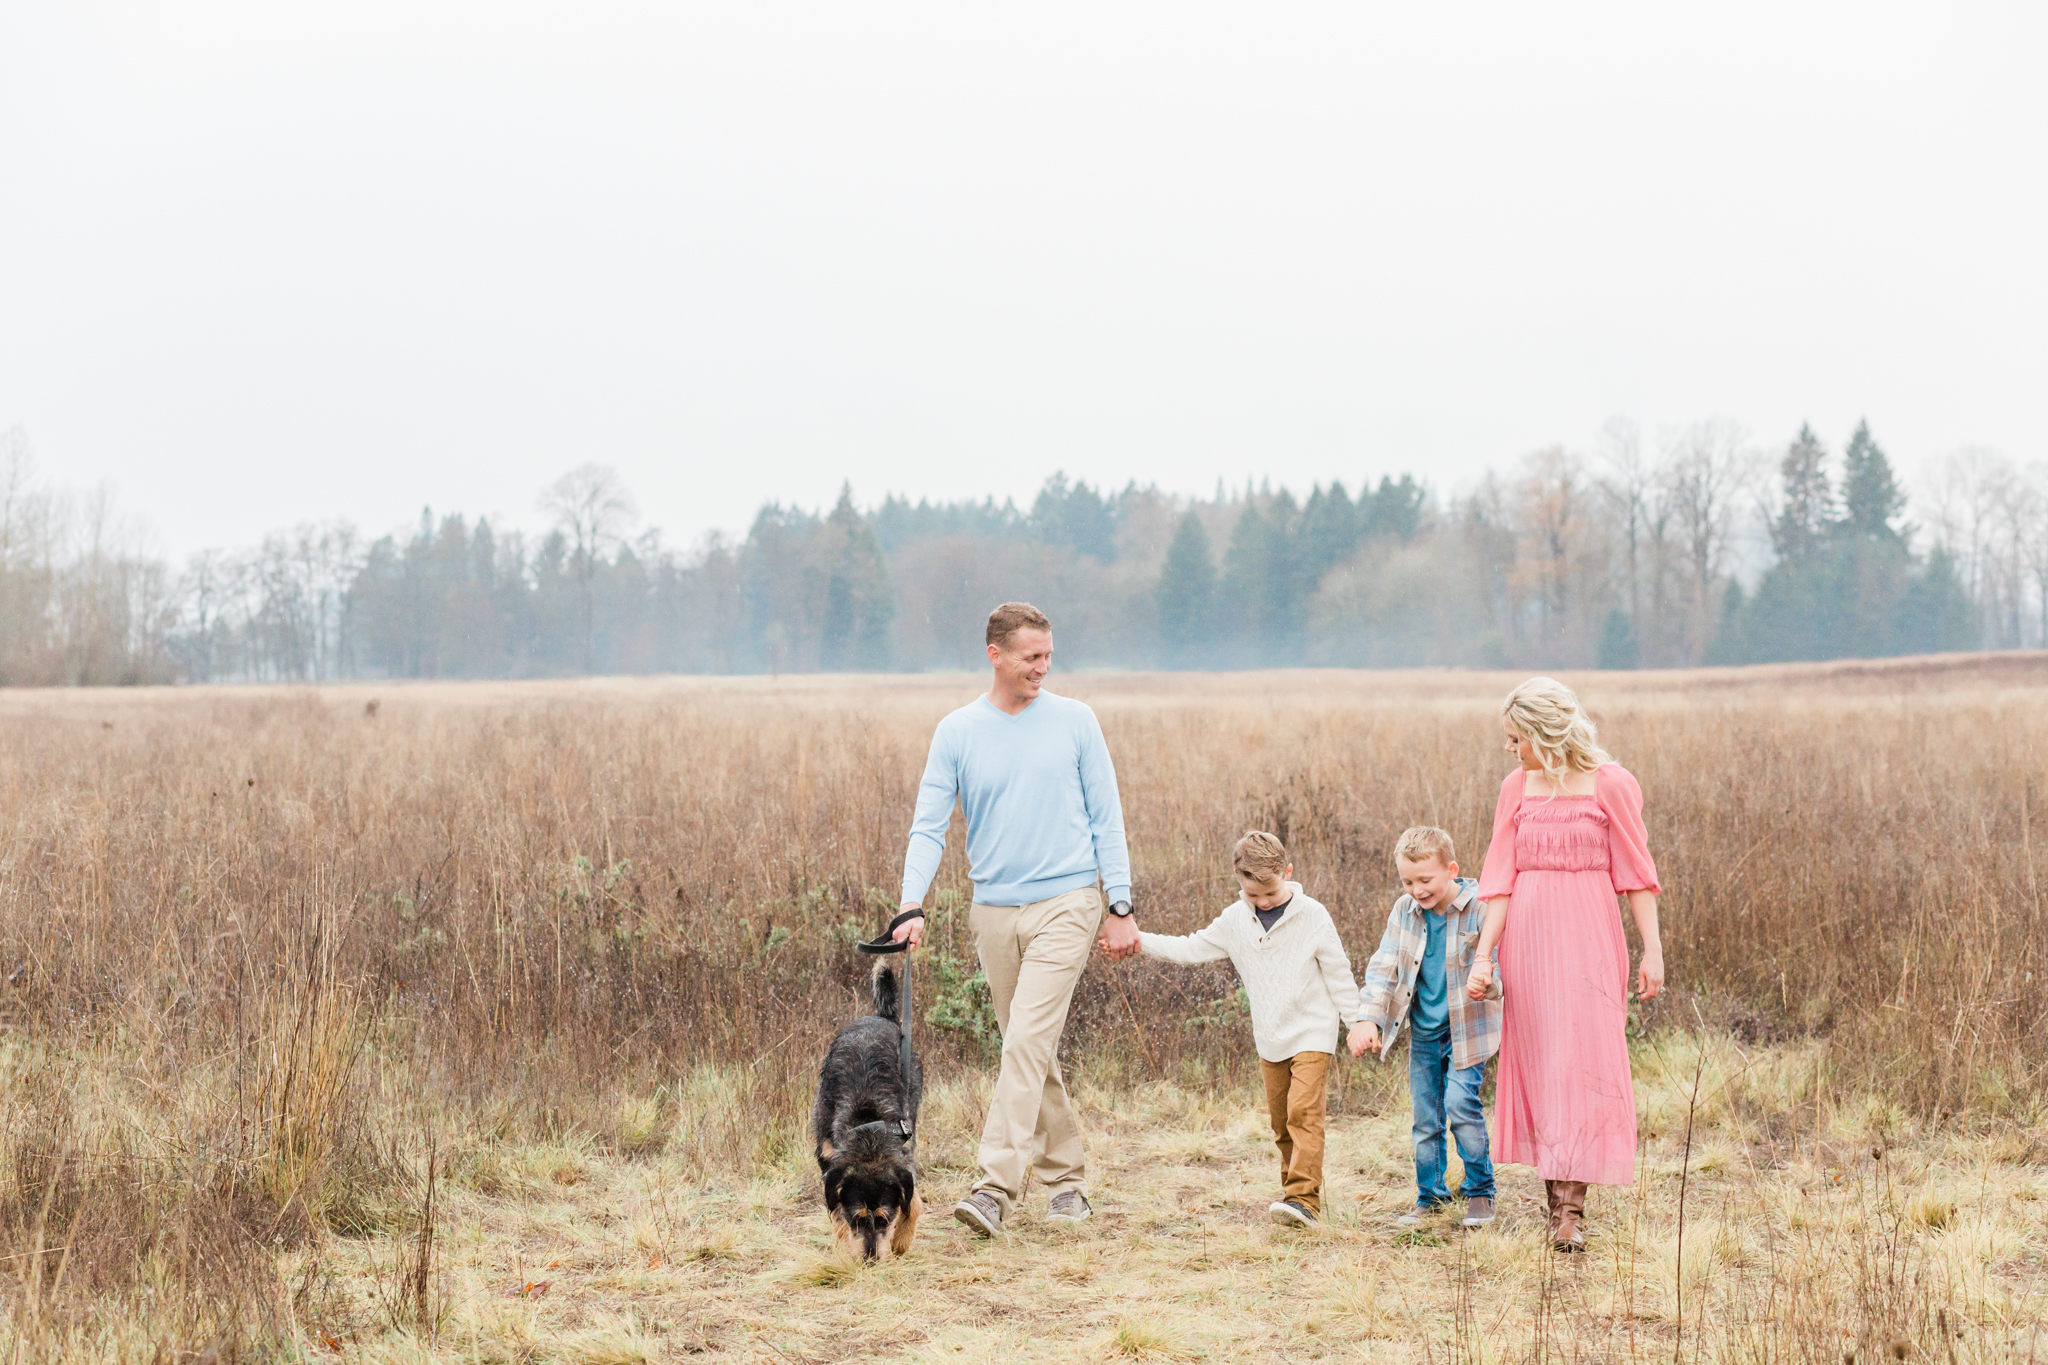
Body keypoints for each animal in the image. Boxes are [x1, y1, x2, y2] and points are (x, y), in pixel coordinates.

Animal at [811, 961, 925, 1260]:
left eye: (886, 1218)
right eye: (858, 1219)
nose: (870, 1260)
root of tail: (882, 1017)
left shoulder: (905, 1157)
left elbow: (914, 1202)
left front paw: (902, 1240)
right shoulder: (829, 1160)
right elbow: (836, 1213)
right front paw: (843, 1247)